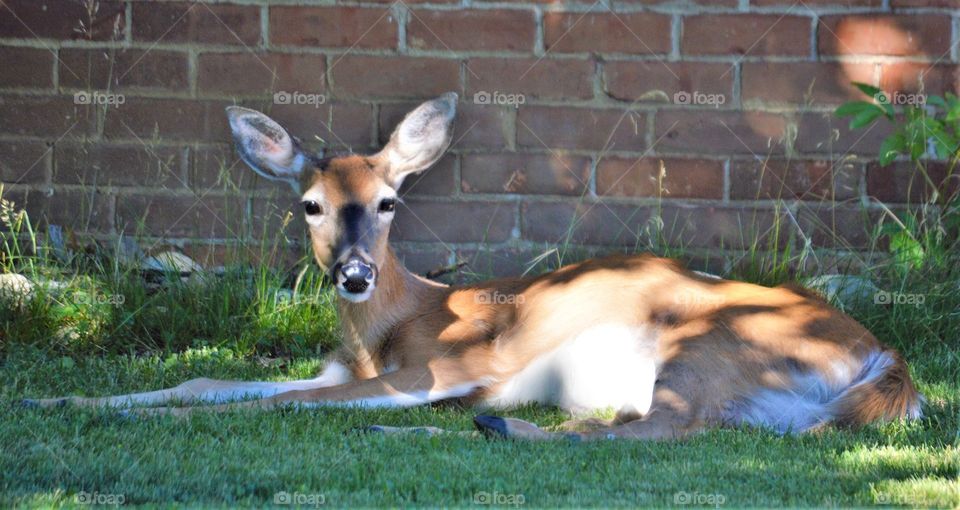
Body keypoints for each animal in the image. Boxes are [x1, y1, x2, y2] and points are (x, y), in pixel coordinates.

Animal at [24, 93, 924, 441]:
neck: (394, 326)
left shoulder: (444, 367)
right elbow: (211, 379)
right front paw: (55, 397)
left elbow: (274, 403)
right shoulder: (338, 366)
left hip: (705, 343)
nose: (354, 274)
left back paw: (454, 428)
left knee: (654, 430)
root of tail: (887, 360)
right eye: (309, 204)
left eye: (389, 200)